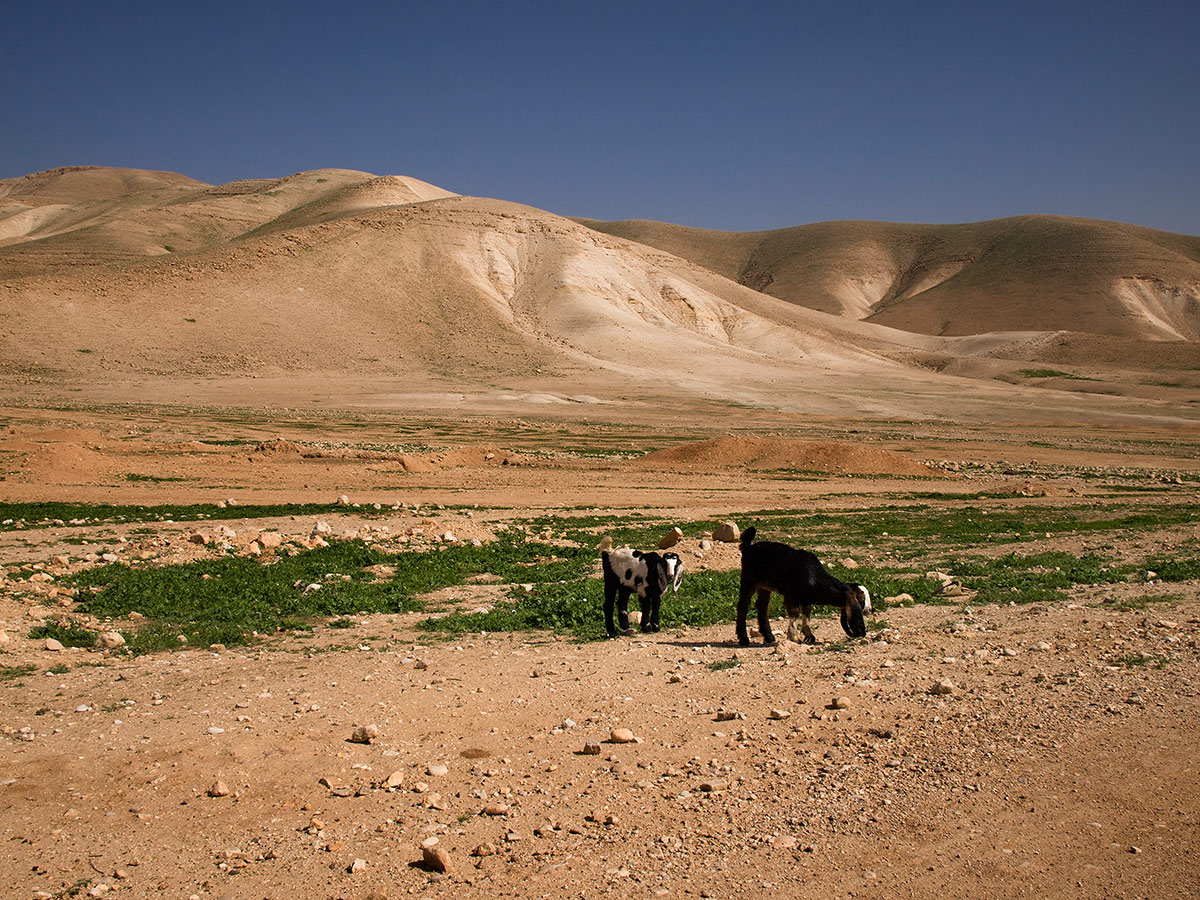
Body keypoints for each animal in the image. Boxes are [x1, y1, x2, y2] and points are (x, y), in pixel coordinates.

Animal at [734, 528, 868, 648]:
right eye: (861, 600)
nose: (862, 632)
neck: (814, 576)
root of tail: (748, 547)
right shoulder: (791, 595)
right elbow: (795, 613)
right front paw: (795, 637)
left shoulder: (805, 598)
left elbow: (806, 612)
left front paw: (809, 636)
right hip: (748, 580)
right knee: (743, 606)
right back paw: (744, 639)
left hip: (765, 586)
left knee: (762, 606)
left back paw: (769, 636)